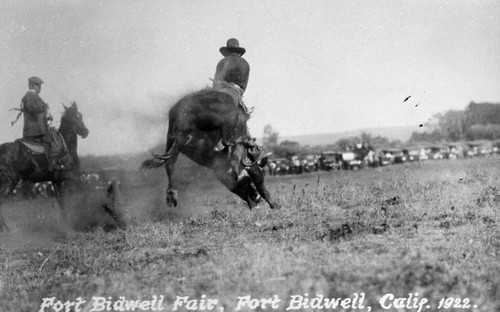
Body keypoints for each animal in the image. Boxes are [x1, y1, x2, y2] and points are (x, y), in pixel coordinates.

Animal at [0, 101, 89, 230]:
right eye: (76, 116)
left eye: (81, 115)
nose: (85, 131)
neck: (66, 147)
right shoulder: (73, 176)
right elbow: (84, 194)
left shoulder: (56, 181)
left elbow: (61, 201)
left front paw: (65, 223)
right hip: (9, 182)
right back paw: (6, 230)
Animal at [142, 88, 282, 210]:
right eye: (249, 184)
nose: (256, 200)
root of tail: (181, 107)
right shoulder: (250, 168)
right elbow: (260, 184)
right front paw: (274, 205)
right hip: (218, 119)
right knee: (226, 140)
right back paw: (248, 142)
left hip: (173, 136)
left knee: (170, 160)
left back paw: (171, 195)